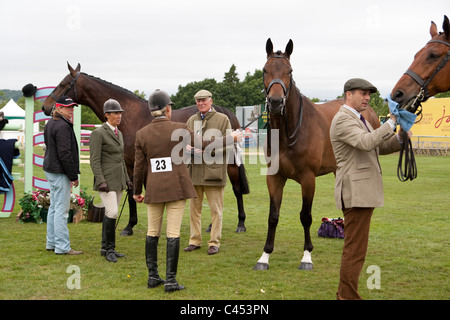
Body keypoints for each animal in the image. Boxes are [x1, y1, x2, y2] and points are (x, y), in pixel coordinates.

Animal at [41, 64, 250, 235]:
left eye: (63, 84)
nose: (45, 106)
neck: (130, 117)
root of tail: (224, 111)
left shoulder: (138, 163)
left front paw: (133, 226)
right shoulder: (130, 164)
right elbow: (133, 193)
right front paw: (132, 225)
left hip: (230, 163)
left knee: (236, 189)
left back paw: (241, 224)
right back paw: (211, 225)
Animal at [253, 38, 380, 272]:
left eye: (290, 71)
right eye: (265, 70)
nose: (275, 102)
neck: (289, 133)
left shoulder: (308, 179)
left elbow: (305, 216)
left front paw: (306, 257)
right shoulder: (274, 178)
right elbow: (273, 216)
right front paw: (264, 257)